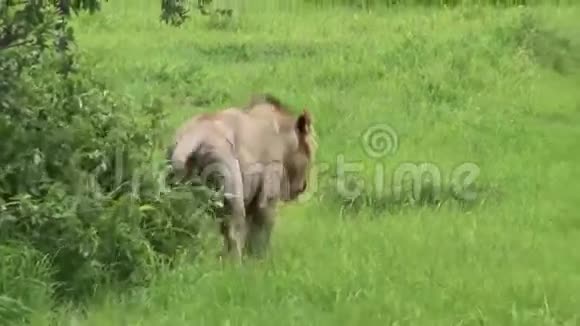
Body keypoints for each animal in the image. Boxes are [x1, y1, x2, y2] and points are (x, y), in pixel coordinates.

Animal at [165, 93, 318, 262]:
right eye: (310, 152)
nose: (303, 186)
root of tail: (191, 140)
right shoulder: (268, 189)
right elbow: (261, 231)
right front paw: (259, 259)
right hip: (228, 179)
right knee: (233, 228)